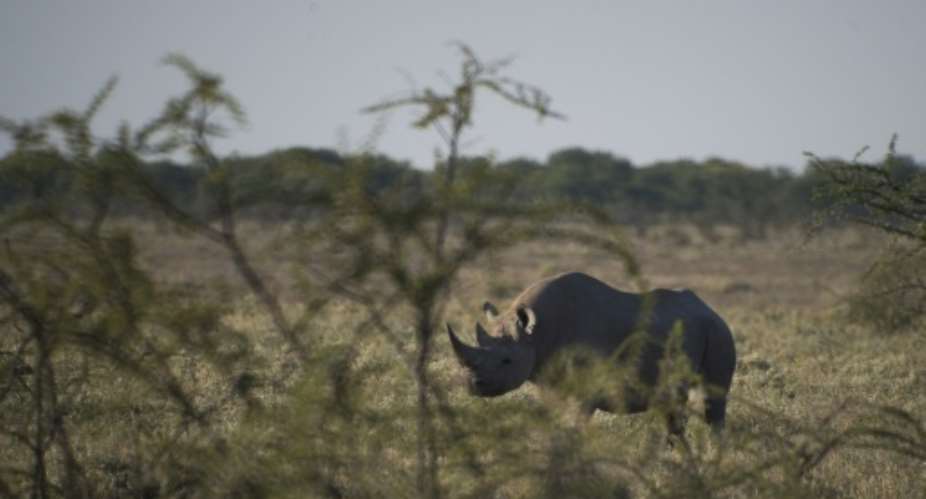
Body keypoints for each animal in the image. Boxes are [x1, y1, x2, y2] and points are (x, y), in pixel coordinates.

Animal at [447, 272, 736, 434]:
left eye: (506, 360)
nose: (472, 384)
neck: (536, 334)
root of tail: (711, 310)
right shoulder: (550, 379)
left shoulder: (586, 387)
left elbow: (577, 422)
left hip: (719, 333)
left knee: (712, 401)